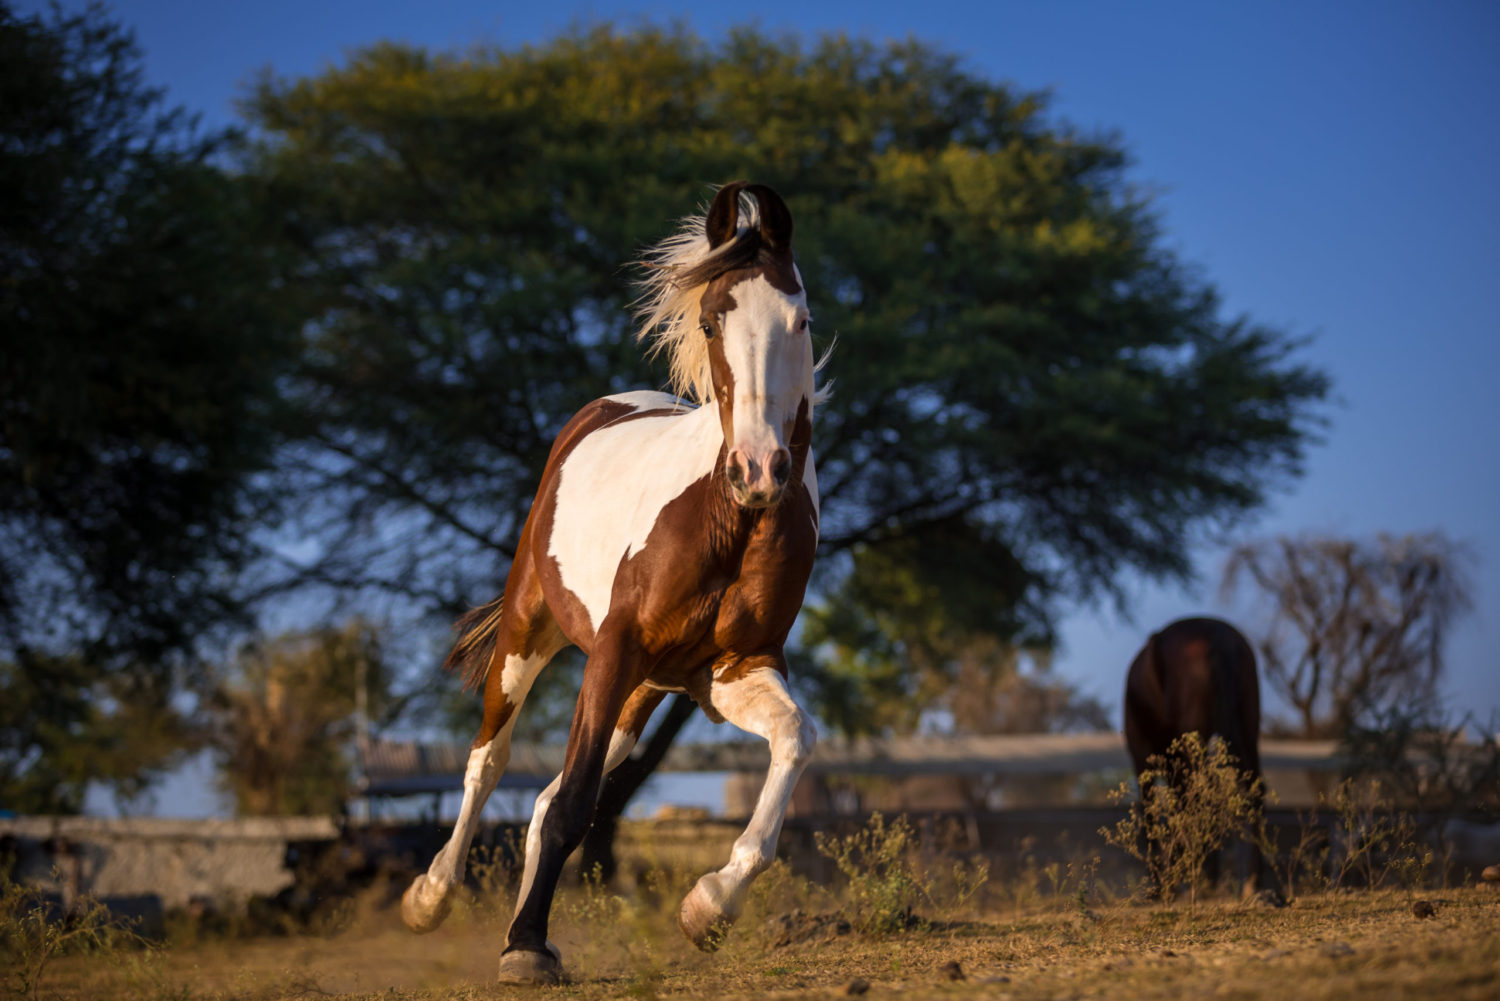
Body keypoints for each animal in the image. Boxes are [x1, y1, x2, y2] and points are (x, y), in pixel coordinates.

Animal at [399, 182, 828, 984]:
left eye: (801, 319)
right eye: (711, 319)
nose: (759, 470)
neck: (727, 522)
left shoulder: (731, 670)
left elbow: (795, 738)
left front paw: (709, 906)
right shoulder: (613, 650)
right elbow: (571, 803)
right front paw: (524, 951)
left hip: (642, 692)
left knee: (545, 797)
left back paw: (524, 929)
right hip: (530, 636)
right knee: (489, 762)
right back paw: (433, 898)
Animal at [1128, 618, 1266, 894]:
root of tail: (1218, 638)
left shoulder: (1140, 754)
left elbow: (1151, 814)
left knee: (1201, 794)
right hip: (1247, 730)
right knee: (1252, 790)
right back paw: (1251, 883)